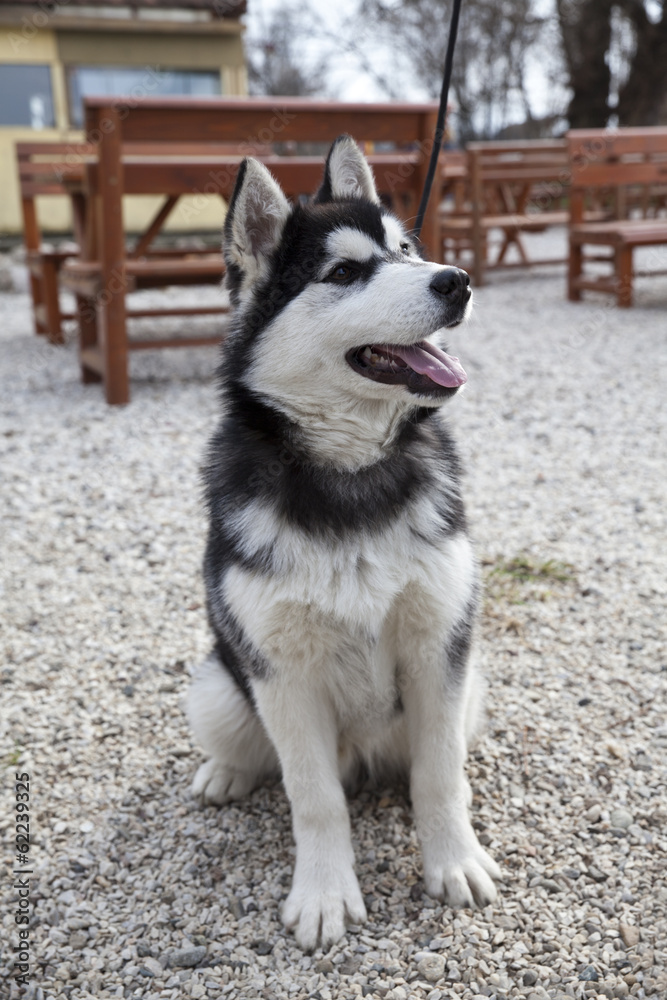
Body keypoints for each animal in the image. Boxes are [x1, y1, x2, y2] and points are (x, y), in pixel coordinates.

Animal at [188, 137, 500, 948]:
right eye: (343, 272)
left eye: (405, 250)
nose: (457, 280)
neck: (350, 473)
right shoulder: (282, 675)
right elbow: (314, 797)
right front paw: (325, 893)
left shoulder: (439, 647)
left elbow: (439, 775)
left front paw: (453, 862)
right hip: (218, 684)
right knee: (246, 748)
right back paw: (224, 774)